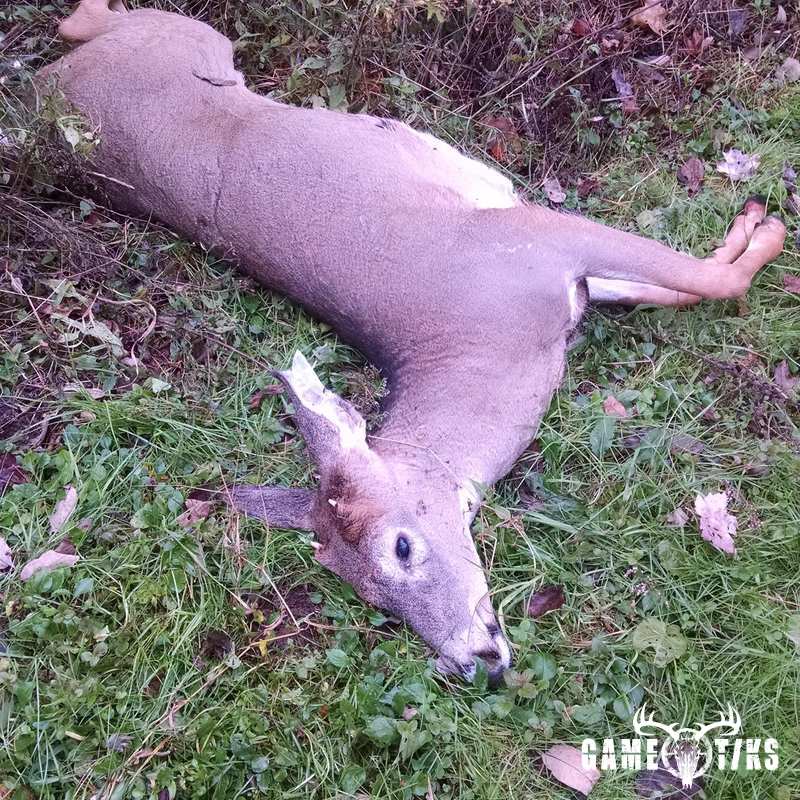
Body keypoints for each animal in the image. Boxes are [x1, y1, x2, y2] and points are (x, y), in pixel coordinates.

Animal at [36, 0, 785, 684]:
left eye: (400, 547)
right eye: (368, 596)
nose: (475, 661)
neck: (483, 343)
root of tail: (47, 97)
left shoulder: (541, 239)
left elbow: (705, 277)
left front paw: (763, 221)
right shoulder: (553, 267)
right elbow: (690, 283)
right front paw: (754, 225)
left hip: (191, 38)